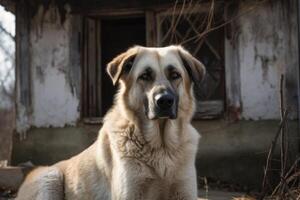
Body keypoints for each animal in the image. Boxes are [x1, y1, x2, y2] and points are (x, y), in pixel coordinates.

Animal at [16, 45, 206, 200]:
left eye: (175, 75)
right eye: (145, 76)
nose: (164, 101)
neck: (161, 147)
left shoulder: (185, 192)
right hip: (50, 177)